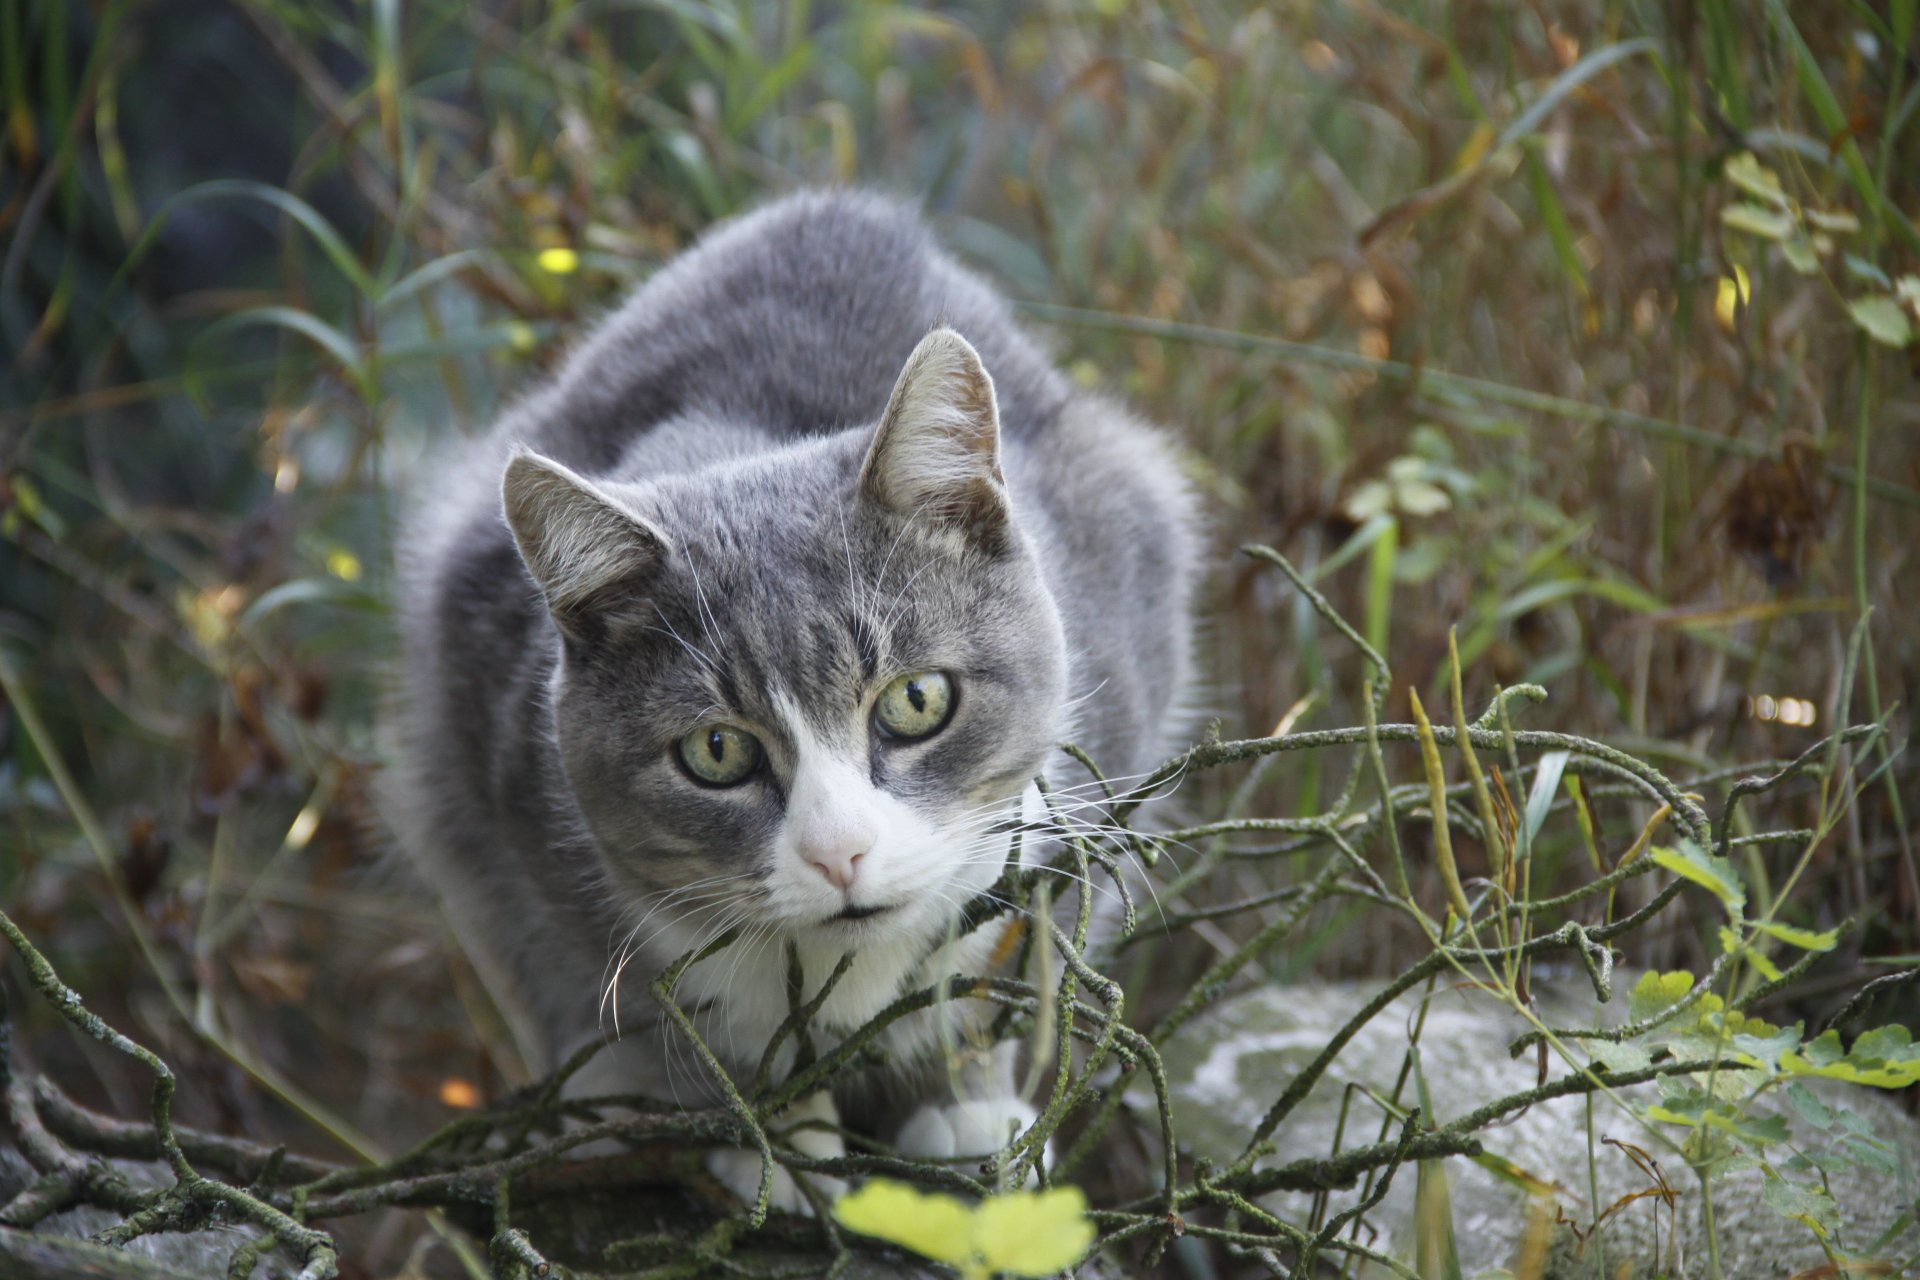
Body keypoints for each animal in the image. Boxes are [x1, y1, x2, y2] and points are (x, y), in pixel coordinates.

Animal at [382, 192, 1198, 1212]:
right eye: (717, 752)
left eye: (917, 700)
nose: (839, 853)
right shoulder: (510, 798)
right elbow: (671, 1015)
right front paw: (775, 1143)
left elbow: (1006, 951)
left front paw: (965, 1107)